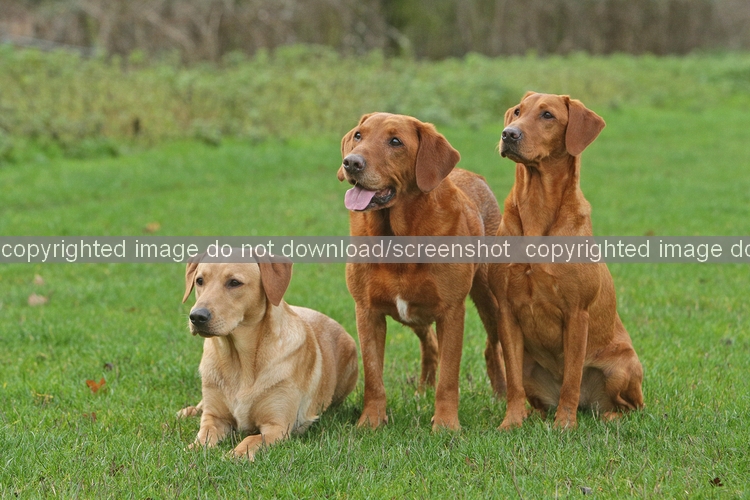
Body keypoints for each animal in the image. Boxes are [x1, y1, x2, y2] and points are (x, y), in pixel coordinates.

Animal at [178, 257, 358, 460]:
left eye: (234, 282)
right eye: (200, 281)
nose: (196, 316)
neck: (238, 360)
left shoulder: (277, 426)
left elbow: (250, 440)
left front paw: (235, 454)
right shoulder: (214, 418)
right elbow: (204, 435)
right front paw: (192, 449)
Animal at [338, 112, 506, 430]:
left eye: (395, 142)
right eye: (358, 135)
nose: (351, 163)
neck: (398, 236)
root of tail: (476, 176)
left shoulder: (451, 312)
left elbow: (449, 377)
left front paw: (446, 425)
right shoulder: (366, 311)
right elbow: (373, 376)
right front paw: (371, 422)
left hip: (490, 300)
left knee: (493, 347)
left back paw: (502, 394)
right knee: (430, 345)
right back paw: (422, 390)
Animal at [489, 92, 644, 430]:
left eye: (547, 115)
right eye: (517, 112)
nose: (509, 134)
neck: (537, 204)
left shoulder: (577, 313)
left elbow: (572, 378)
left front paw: (564, 425)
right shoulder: (506, 310)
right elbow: (513, 384)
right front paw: (512, 422)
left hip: (623, 366)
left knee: (632, 407)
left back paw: (607, 416)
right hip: (530, 367)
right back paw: (534, 415)